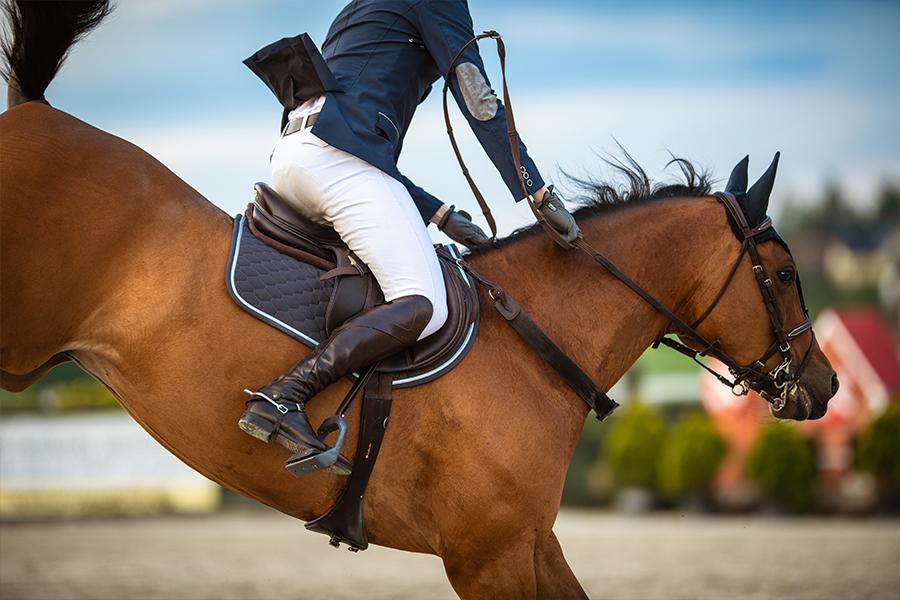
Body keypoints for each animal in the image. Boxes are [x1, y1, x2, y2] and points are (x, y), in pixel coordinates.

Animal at [0, 2, 836, 596]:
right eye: (783, 273)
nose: (823, 385)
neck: (538, 337)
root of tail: (33, 115)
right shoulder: (486, 555)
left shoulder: (527, 543)